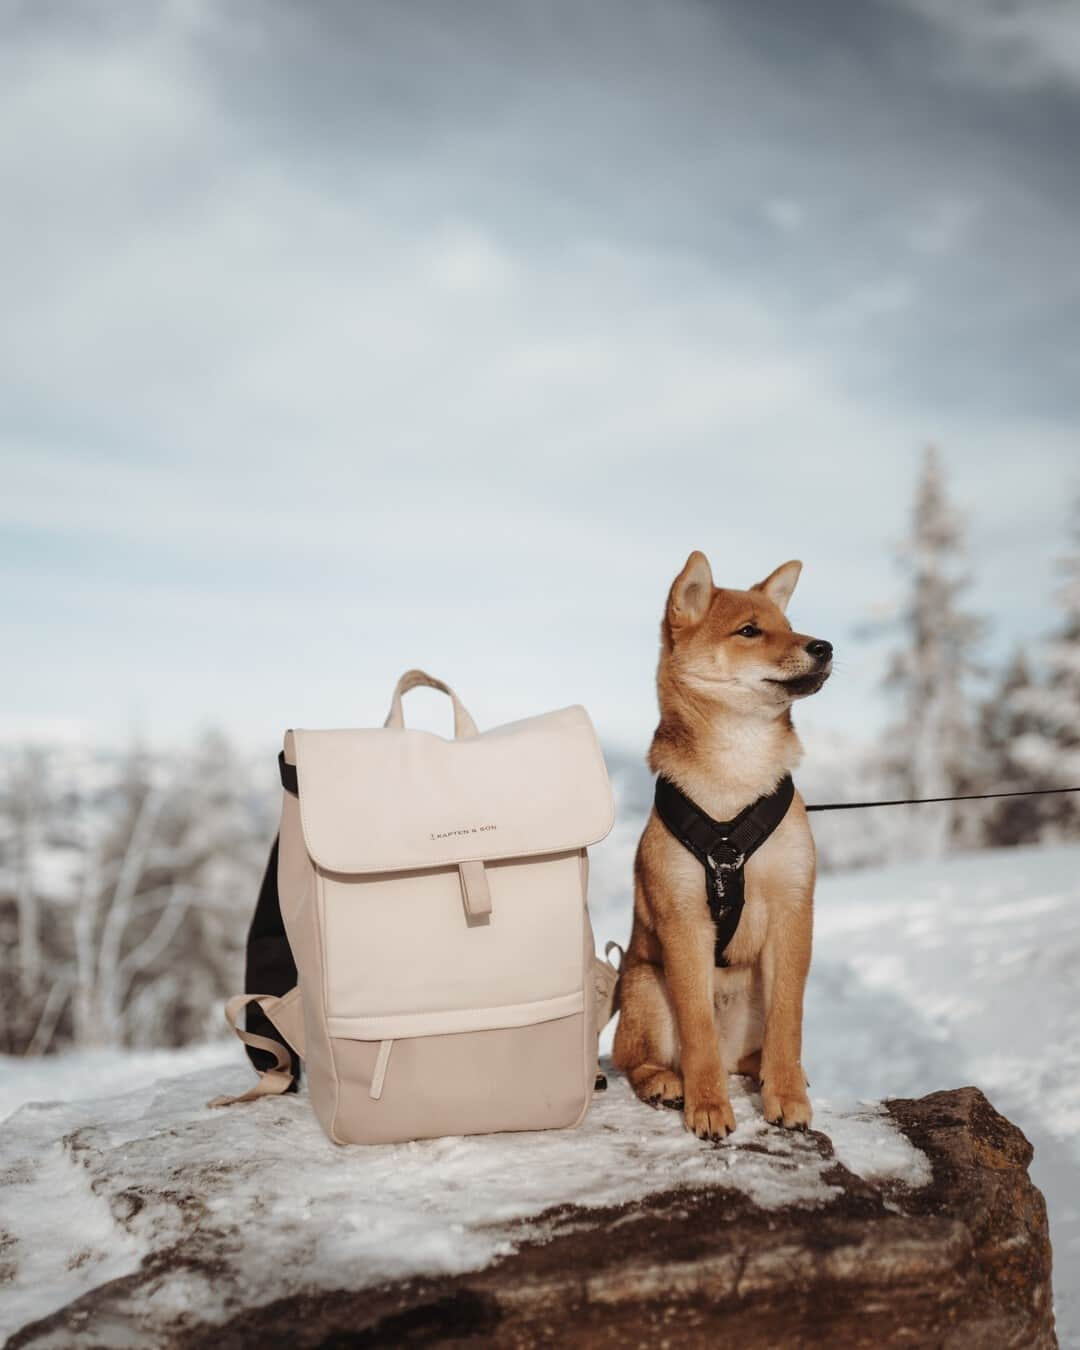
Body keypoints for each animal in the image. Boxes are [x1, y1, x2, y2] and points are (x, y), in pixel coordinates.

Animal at [612, 550, 831, 1139]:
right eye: (750, 631)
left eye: (790, 625)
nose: (823, 646)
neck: (737, 772)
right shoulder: (683, 920)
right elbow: (697, 1033)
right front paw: (707, 1105)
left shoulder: (792, 910)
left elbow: (789, 1023)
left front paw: (787, 1095)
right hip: (645, 985)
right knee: (632, 1058)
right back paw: (665, 1082)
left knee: (756, 1051)